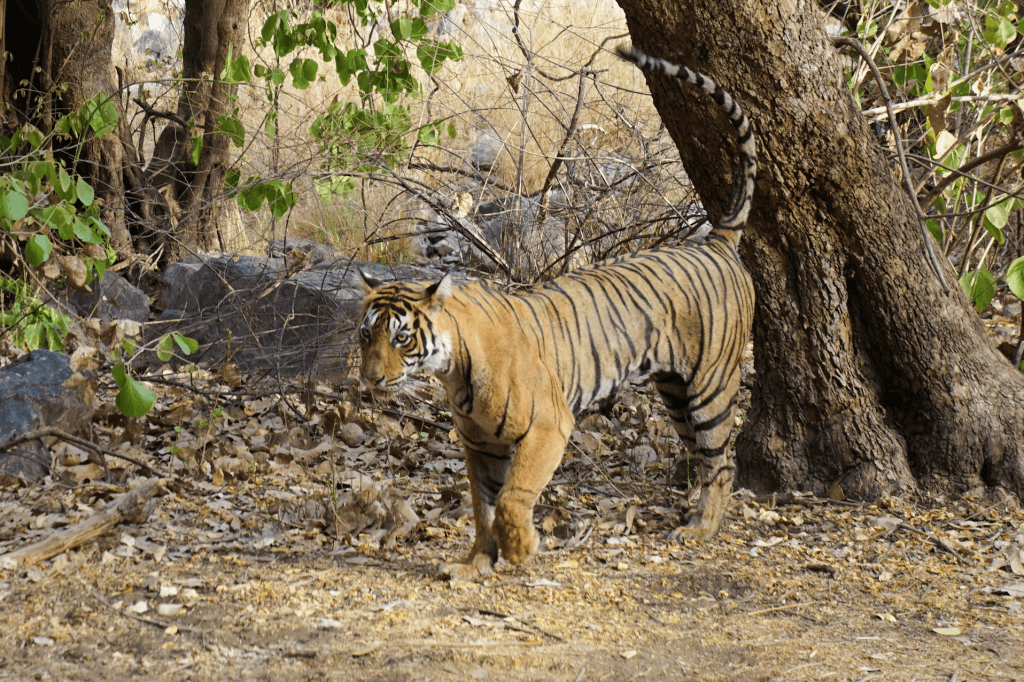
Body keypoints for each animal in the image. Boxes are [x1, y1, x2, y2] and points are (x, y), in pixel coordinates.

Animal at [356, 45, 757, 577]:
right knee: (702, 455)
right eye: (366, 335)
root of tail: (714, 239)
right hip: (675, 390)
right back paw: (691, 512)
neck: (453, 370)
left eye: (401, 337)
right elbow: (482, 506)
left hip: (710, 386)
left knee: (722, 460)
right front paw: (475, 563)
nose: (371, 379)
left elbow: (511, 499)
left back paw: (701, 529)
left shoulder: (548, 427)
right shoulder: (479, 444)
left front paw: (521, 550)